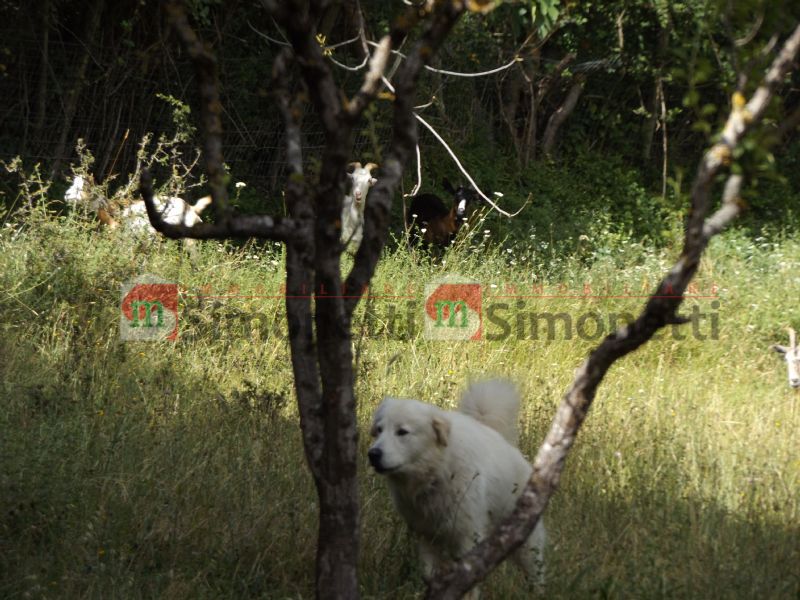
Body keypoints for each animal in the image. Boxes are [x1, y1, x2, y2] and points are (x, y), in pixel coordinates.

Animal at [368, 380, 544, 596]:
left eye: (402, 432)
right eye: (379, 430)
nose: (373, 454)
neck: (438, 470)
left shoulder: (468, 537)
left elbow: (467, 580)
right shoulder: (426, 535)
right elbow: (429, 575)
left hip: (526, 542)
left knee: (536, 575)